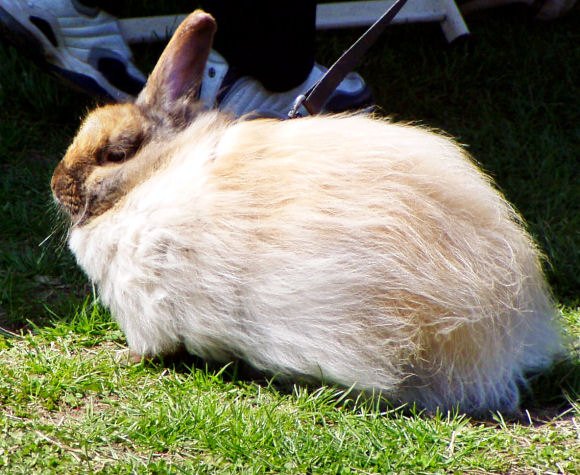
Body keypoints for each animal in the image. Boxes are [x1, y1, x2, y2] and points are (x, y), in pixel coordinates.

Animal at [51, 9, 560, 414]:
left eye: (116, 153)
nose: (57, 185)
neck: (152, 175)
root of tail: (498, 335)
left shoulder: (146, 307)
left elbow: (148, 347)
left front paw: (122, 357)